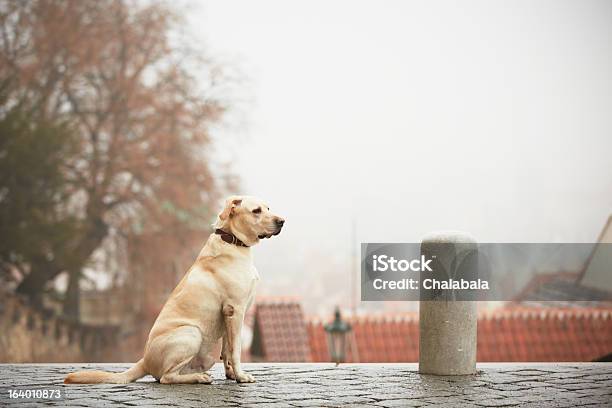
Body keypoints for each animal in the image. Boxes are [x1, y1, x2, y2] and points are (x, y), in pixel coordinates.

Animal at [65, 196, 286, 384]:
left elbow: (227, 351)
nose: (282, 221)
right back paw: (198, 378)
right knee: (166, 378)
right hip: (191, 332)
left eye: (268, 208)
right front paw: (241, 376)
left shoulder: (227, 314)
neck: (231, 241)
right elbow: (236, 349)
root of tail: (144, 360)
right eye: (256, 211)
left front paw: (231, 374)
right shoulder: (235, 310)